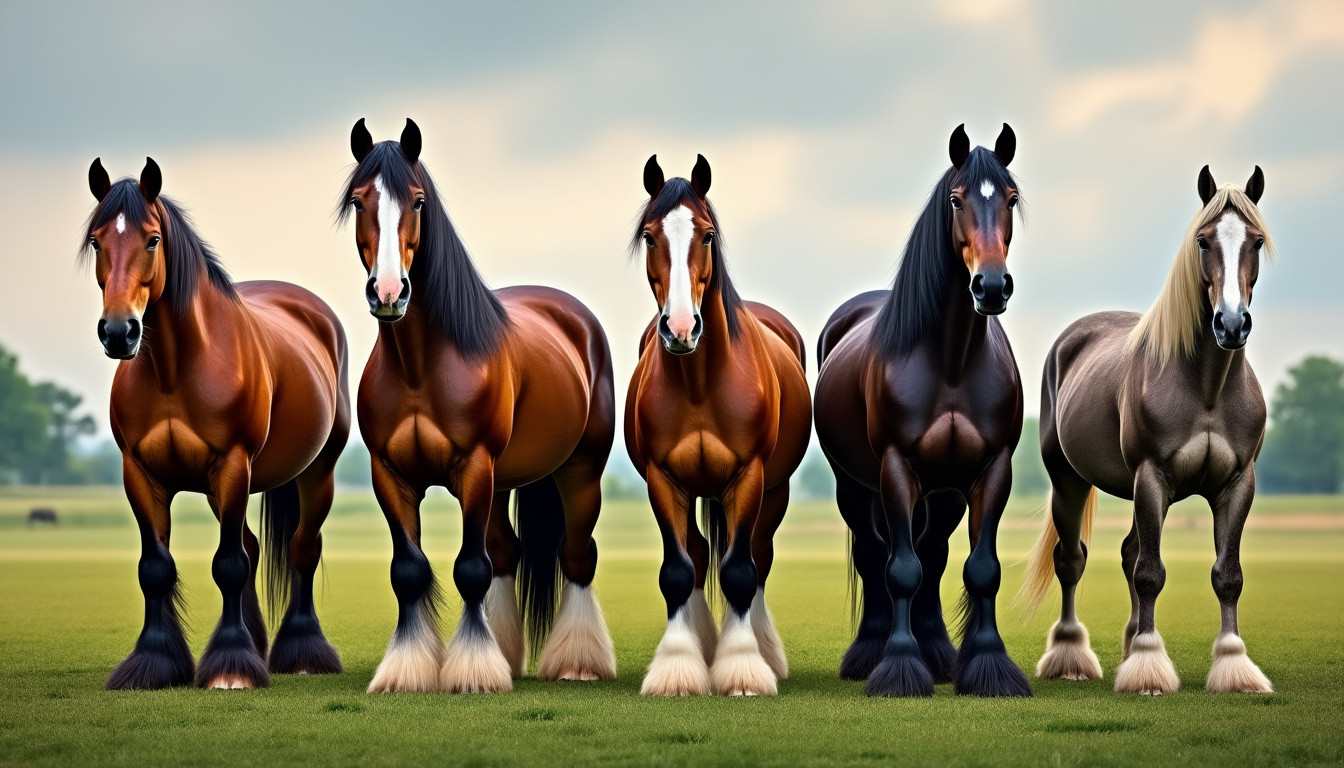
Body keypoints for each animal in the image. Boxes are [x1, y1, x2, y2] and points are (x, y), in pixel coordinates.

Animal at [82, 158, 350, 690]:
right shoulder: (141, 474)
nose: (119, 332)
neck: (174, 370)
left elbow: (228, 564)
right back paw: (258, 644)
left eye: (152, 239)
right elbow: (156, 568)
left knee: (301, 549)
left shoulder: (231, 466)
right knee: (251, 546)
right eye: (98, 241)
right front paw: (154, 663)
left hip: (316, 472)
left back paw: (302, 652)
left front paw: (230, 668)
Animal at [340, 119, 617, 693]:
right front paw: (408, 670)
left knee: (577, 556)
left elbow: (470, 568)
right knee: (507, 552)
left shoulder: (473, 468)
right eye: (359, 200)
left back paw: (577, 663)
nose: (389, 291)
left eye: (418, 200)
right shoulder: (390, 475)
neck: (420, 366)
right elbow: (410, 571)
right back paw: (507, 654)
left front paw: (471, 672)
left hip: (580, 469)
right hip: (503, 479)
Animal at [626, 155, 811, 697]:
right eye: (649, 236)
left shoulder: (748, 477)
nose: (681, 328)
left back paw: (763, 650)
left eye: (706, 235)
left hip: (774, 491)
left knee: (756, 557)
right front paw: (678, 669)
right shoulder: (664, 481)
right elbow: (677, 571)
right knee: (699, 552)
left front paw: (745, 669)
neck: (701, 383)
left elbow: (740, 572)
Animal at [814, 124, 1031, 698]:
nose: (991, 285)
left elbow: (981, 569)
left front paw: (988, 665)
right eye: (956, 199)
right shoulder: (895, 467)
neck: (951, 362)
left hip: (946, 491)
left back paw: (938, 653)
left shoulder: (991, 469)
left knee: (933, 555)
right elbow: (900, 570)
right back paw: (870, 652)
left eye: (1010, 198)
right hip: (854, 485)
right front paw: (899, 667)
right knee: (875, 555)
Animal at [1017, 166, 1275, 695]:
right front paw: (1150, 670)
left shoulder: (1237, 483)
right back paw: (1071, 657)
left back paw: (1130, 644)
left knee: (1128, 552)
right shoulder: (1151, 476)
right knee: (1072, 560)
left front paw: (1234, 666)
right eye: (1203, 240)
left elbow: (1228, 575)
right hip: (1070, 481)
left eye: (1256, 241)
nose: (1231, 323)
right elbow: (1150, 574)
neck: (1207, 388)